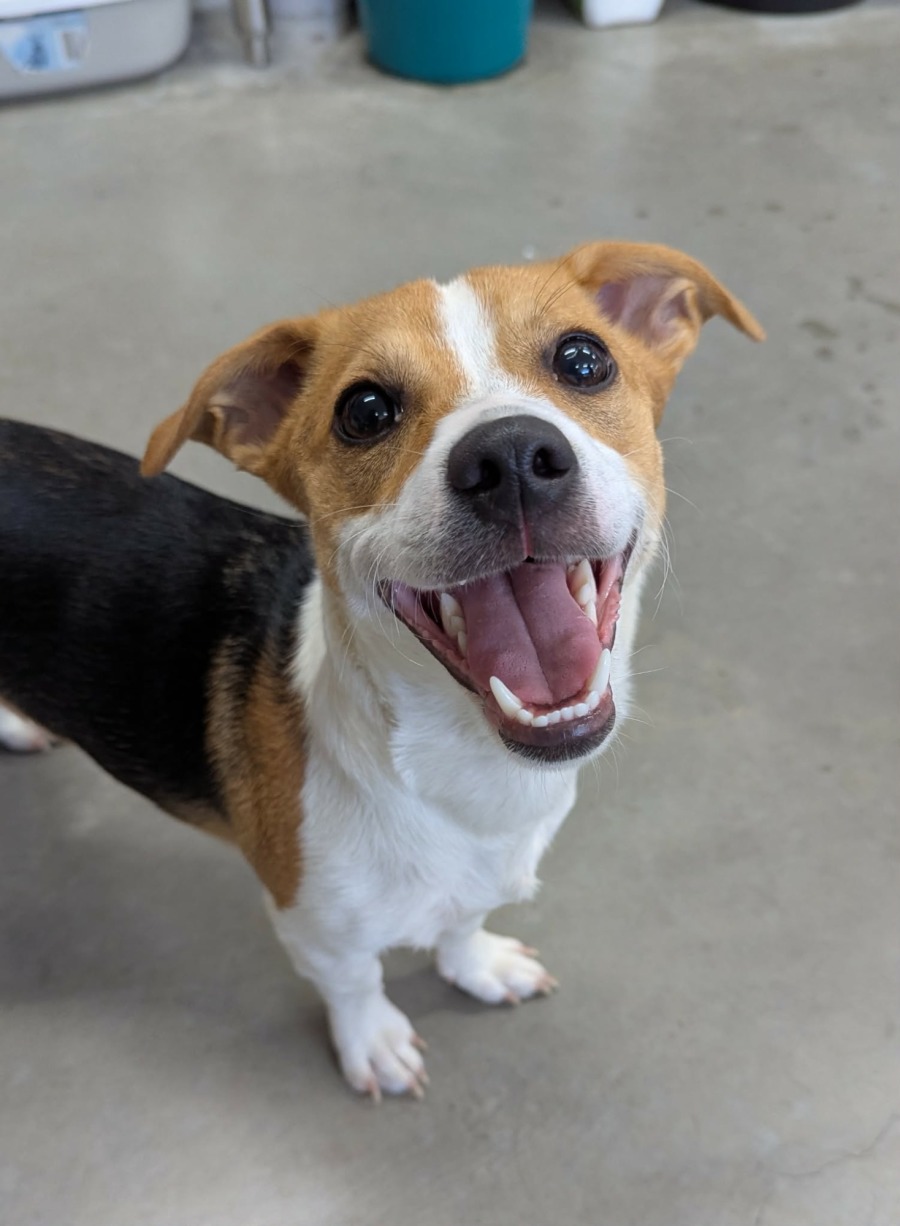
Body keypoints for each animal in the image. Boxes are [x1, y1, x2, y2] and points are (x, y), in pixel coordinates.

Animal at [0, 242, 762, 1099]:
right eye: (363, 411)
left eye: (583, 359)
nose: (510, 458)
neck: (468, 777)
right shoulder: (314, 924)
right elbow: (356, 982)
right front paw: (374, 1042)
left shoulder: (478, 877)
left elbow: (463, 920)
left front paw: (478, 964)